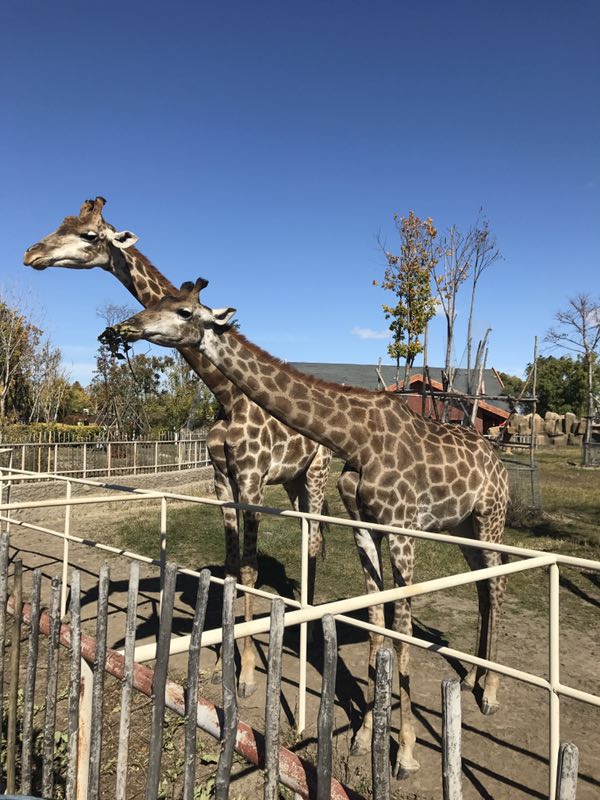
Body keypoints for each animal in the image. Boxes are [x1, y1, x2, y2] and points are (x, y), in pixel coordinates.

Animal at [24, 197, 332, 696]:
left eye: (89, 235)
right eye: (61, 222)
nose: (30, 253)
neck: (227, 397)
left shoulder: (251, 479)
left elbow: (249, 570)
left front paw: (248, 674)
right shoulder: (222, 479)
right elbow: (231, 567)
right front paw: (223, 660)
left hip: (318, 473)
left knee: (317, 541)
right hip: (293, 481)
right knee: (310, 536)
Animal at [110, 278, 508, 780]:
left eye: (184, 311)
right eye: (159, 302)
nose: (127, 326)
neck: (356, 440)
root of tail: (500, 461)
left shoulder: (401, 528)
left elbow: (400, 631)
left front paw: (406, 754)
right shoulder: (364, 527)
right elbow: (378, 625)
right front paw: (364, 736)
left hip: (490, 517)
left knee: (497, 585)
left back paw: (490, 693)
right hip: (463, 527)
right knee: (483, 586)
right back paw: (474, 678)